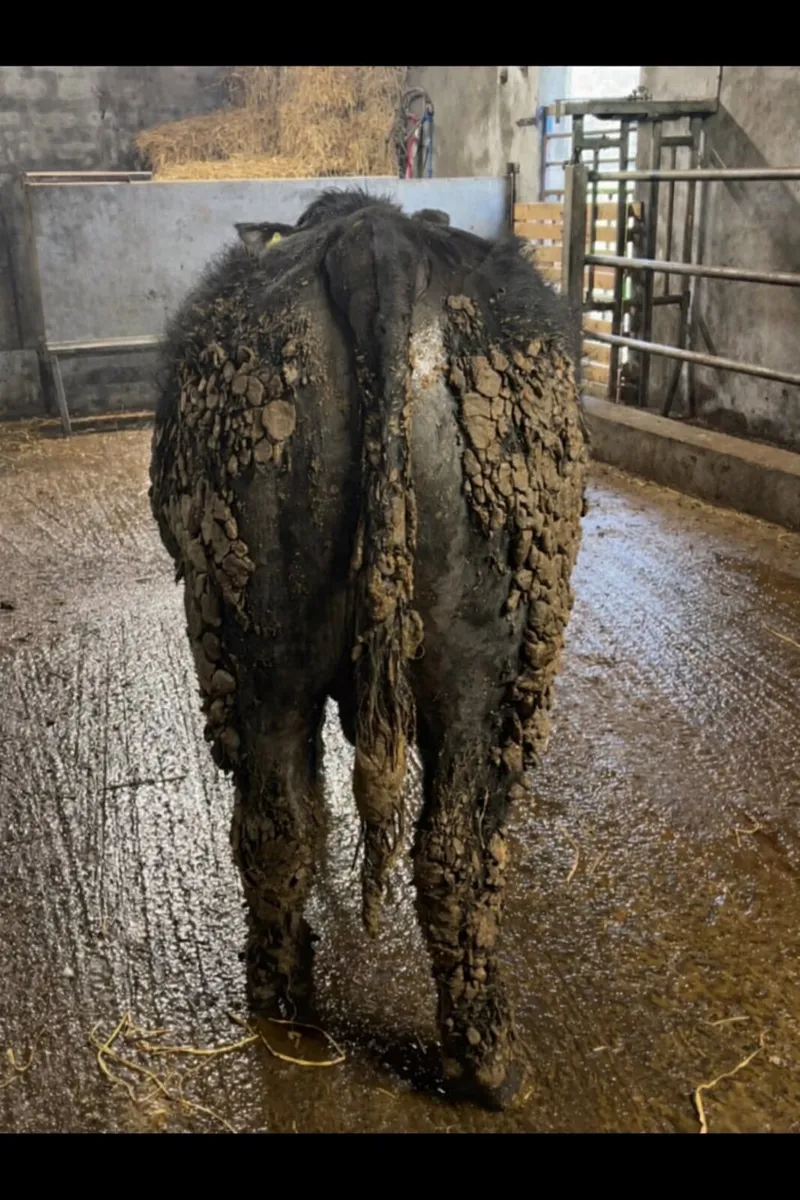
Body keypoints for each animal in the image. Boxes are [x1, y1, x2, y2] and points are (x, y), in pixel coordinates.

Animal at [150, 188, 587, 1110]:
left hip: (257, 652)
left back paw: (281, 994)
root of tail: (371, 241)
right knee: (455, 850)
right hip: (490, 670)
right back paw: (487, 1058)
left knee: (278, 823)